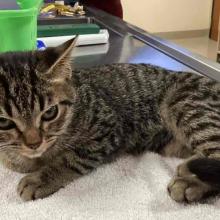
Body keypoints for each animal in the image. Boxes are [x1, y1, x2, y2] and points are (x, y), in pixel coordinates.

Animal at [0, 38, 220, 203]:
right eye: (4, 122)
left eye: (50, 113)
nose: (34, 143)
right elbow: (14, 160)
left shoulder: (107, 130)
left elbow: (71, 159)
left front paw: (40, 178)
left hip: (185, 105)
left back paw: (190, 182)